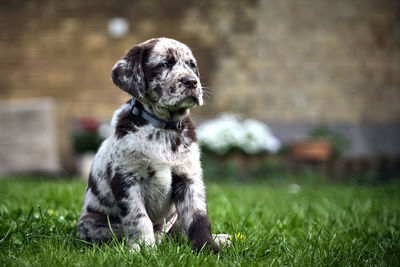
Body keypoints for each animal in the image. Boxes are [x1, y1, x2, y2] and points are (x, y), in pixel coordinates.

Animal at [78, 37, 228, 253]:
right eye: (163, 65)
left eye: (192, 65)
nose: (192, 82)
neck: (163, 128)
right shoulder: (126, 178)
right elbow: (139, 218)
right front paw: (143, 250)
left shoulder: (189, 178)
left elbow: (198, 218)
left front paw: (209, 249)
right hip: (92, 224)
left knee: (178, 233)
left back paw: (222, 238)